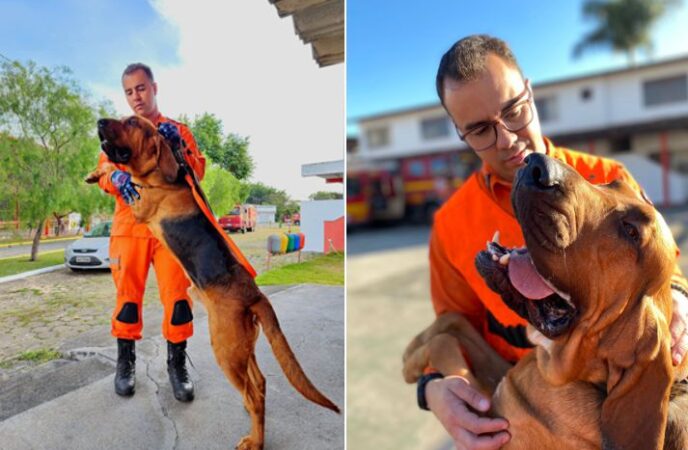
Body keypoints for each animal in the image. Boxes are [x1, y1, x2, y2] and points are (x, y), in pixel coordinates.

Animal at [88, 114, 342, 448]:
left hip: (225, 350)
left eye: (131, 121)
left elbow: (121, 173)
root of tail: (255, 296)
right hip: (242, 349)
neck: (163, 175)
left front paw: (109, 173)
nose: (100, 121)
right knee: (260, 384)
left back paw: (255, 441)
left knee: (254, 393)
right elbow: (114, 170)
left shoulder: (141, 204)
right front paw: (96, 173)